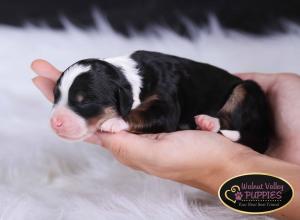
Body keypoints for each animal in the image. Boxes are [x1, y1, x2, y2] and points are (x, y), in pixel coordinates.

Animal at [49, 50, 270, 153]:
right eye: (56, 96)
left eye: (85, 102)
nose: (54, 122)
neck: (131, 77)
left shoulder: (167, 106)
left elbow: (140, 114)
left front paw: (114, 122)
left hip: (246, 90)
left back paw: (207, 122)